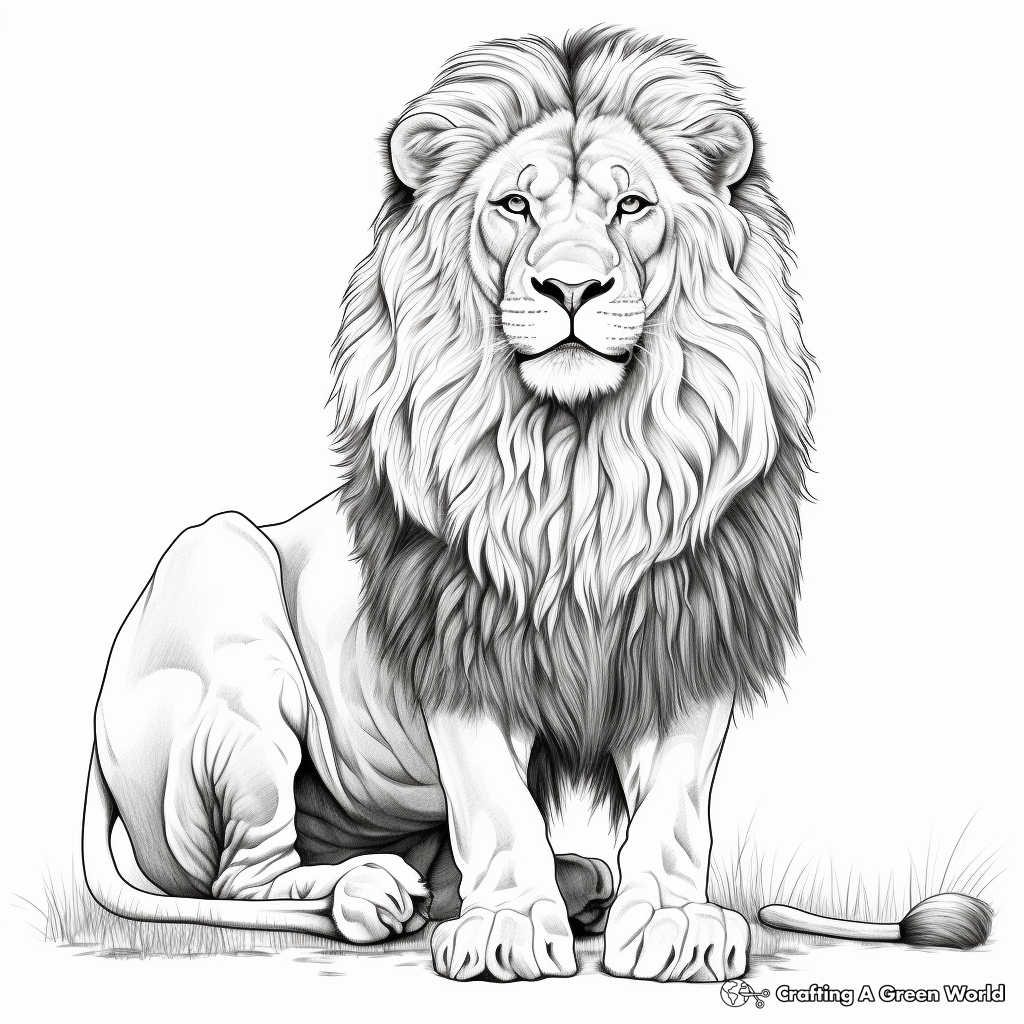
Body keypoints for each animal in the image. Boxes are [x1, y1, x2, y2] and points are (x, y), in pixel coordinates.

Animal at [83, 27, 813, 982]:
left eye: (631, 206)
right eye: (514, 205)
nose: (570, 289)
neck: (580, 462)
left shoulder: (687, 626)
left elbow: (676, 806)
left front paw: (673, 921)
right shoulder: (463, 633)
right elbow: (495, 801)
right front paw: (508, 930)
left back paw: (576, 883)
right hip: (219, 581)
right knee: (244, 878)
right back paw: (369, 892)